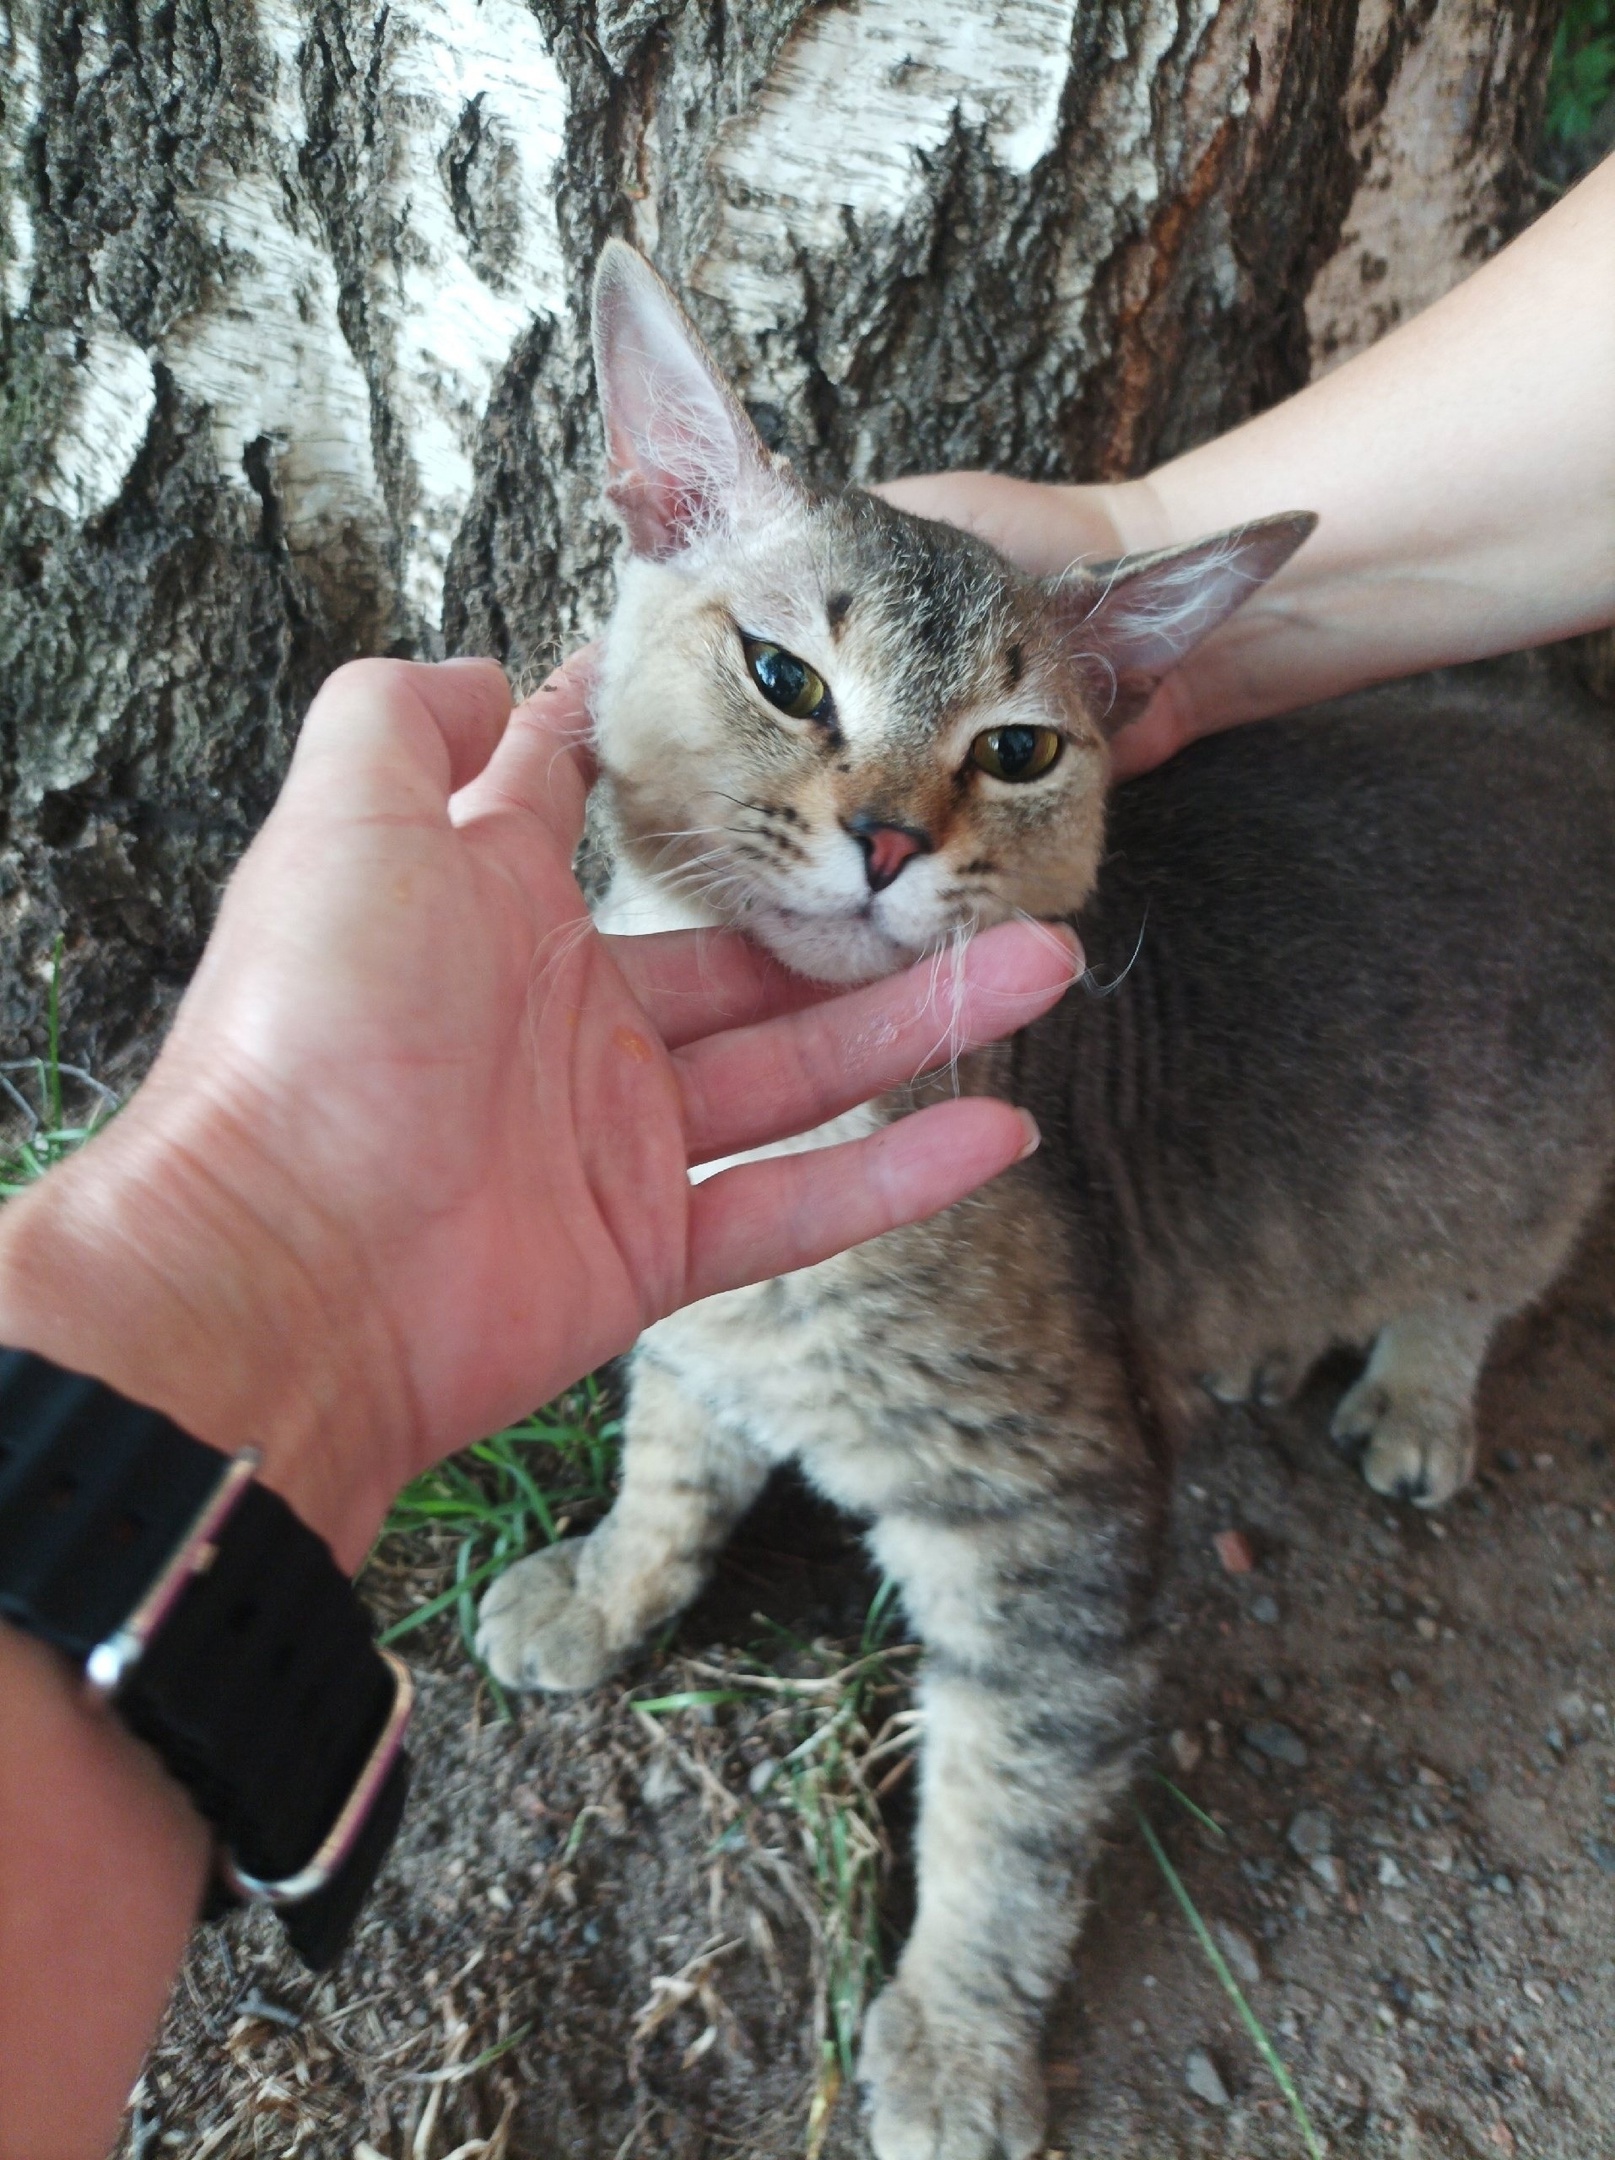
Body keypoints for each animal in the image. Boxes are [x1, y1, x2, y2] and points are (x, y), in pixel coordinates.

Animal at [477, 245, 1615, 2151]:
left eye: (1014, 751)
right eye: (784, 675)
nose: (883, 837)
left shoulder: (1048, 1517)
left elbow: (1009, 1806)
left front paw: (953, 2037)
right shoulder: (702, 1327)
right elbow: (670, 1465)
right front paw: (604, 1586)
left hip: (1514, 1164)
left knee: (1481, 1280)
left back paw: (1411, 1392)